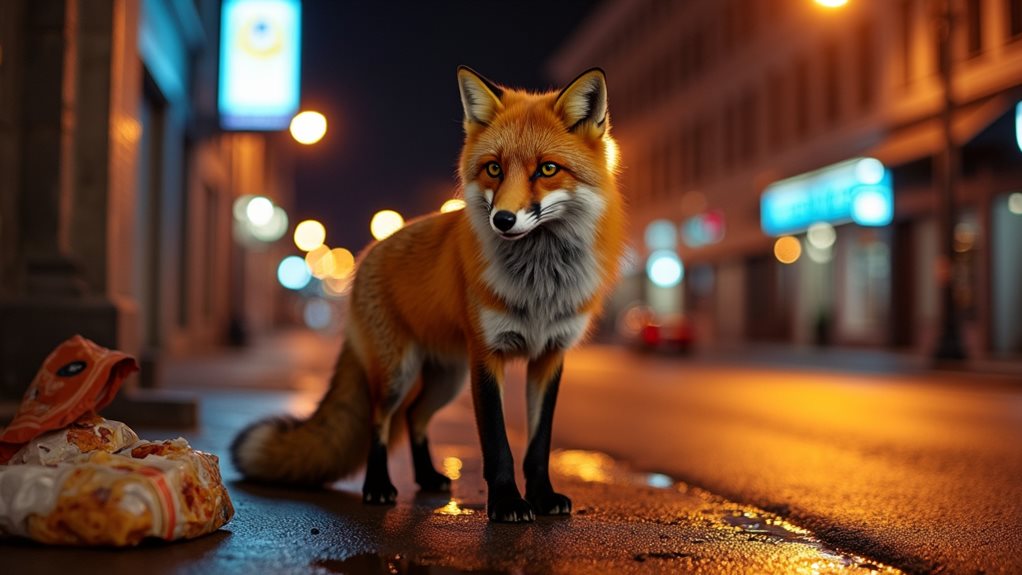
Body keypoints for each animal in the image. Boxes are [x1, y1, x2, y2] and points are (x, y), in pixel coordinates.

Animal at [231, 66, 624, 522]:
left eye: (547, 169)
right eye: (493, 168)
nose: (503, 220)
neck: (540, 282)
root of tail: (368, 255)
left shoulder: (549, 356)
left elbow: (538, 446)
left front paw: (542, 497)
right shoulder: (486, 356)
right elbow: (498, 445)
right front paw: (507, 503)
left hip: (447, 379)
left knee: (415, 417)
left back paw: (428, 477)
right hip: (397, 373)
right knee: (382, 422)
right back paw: (378, 486)